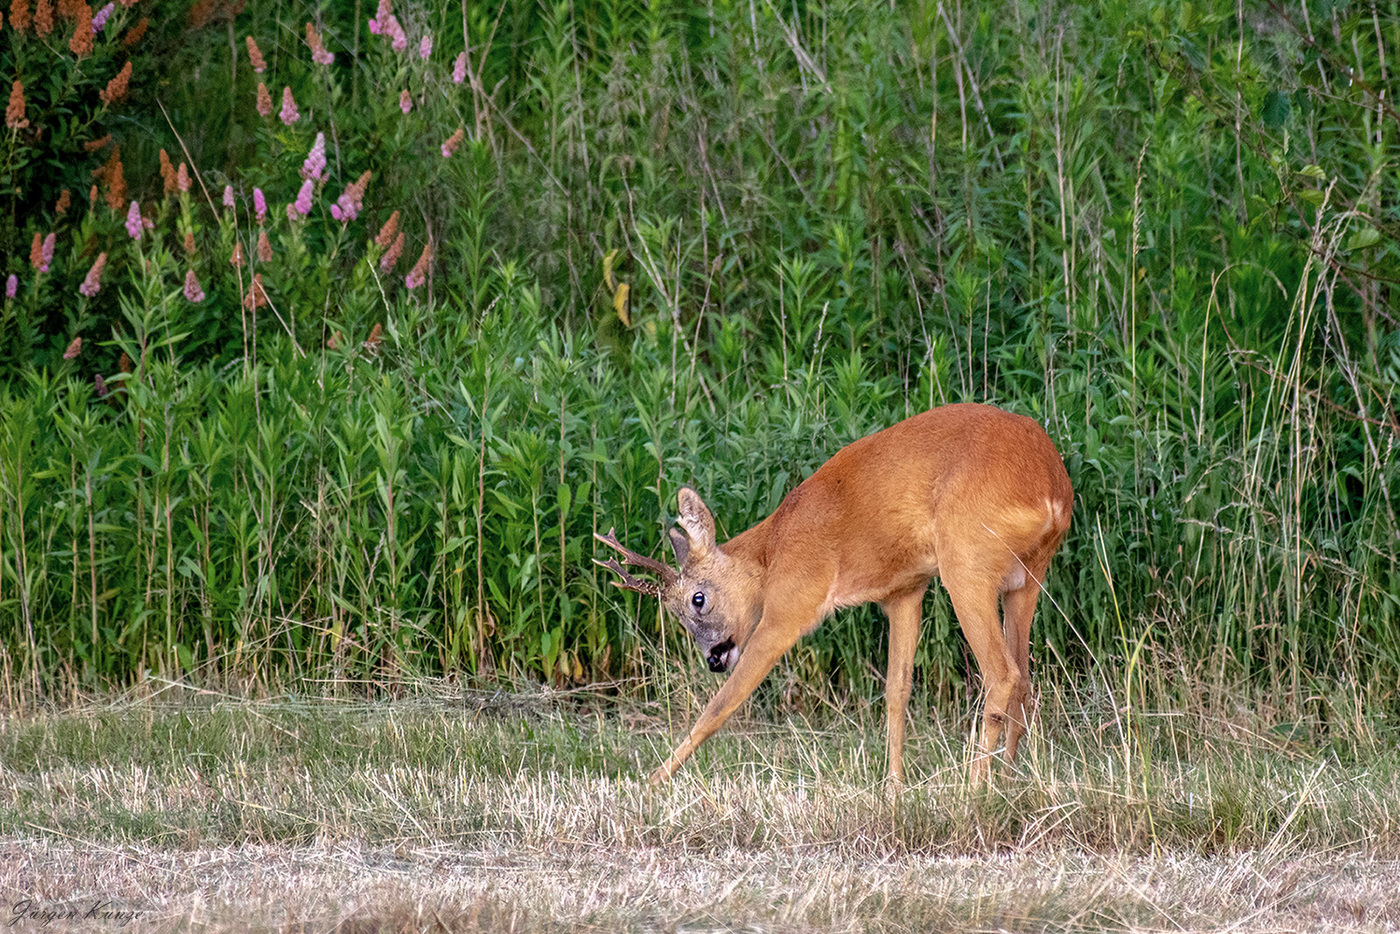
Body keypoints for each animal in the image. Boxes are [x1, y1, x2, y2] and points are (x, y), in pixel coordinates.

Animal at [593, 403, 1069, 784]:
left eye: (698, 598)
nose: (712, 658)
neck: (774, 551)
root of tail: (1051, 489)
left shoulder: (791, 603)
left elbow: (723, 704)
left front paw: (649, 784)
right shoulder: (904, 589)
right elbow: (897, 691)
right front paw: (893, 789)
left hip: (966, 563)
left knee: (1002, 674)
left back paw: (975, 789)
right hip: (1026, 576)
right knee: (1024, 676)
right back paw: (1009, 780)